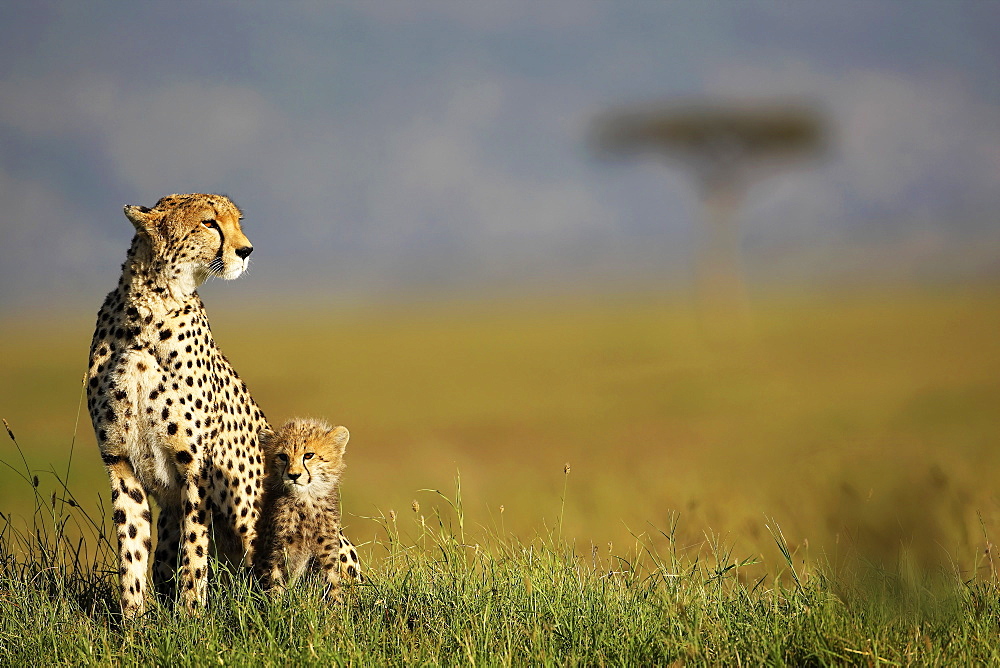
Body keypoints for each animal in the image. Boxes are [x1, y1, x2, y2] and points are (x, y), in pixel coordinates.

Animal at [86, 193, 268, 616]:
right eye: (209, 223)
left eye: (237, 221)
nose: (247, 250)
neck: (146, 315)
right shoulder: (119, 462)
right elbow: (132, 548)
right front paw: (134, 620)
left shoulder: (196, 465)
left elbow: (195, 547)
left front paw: (191, 616)